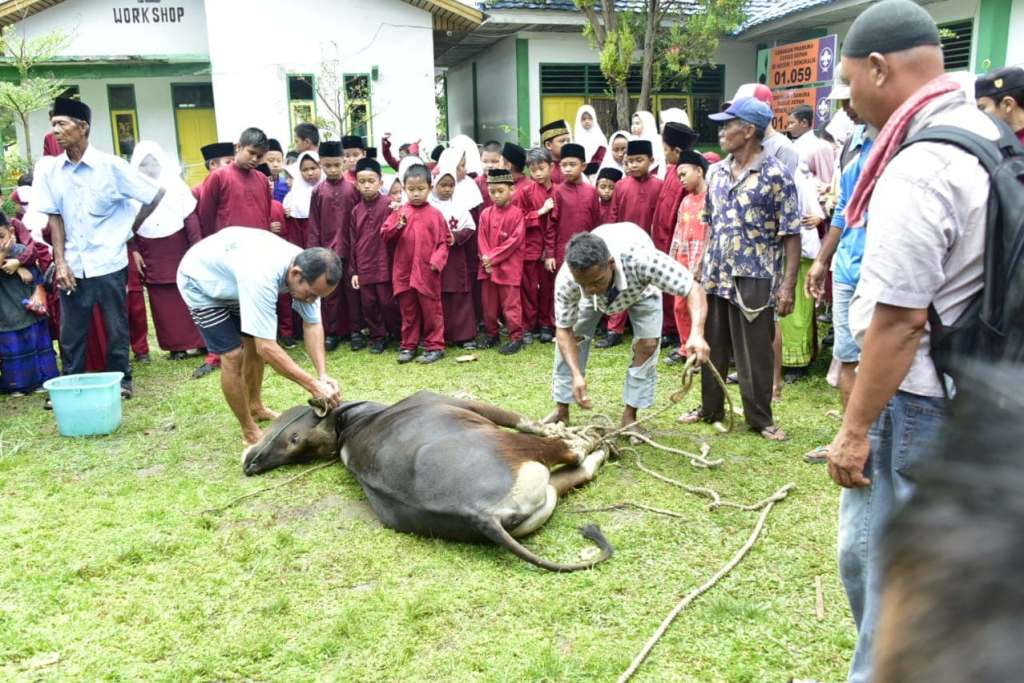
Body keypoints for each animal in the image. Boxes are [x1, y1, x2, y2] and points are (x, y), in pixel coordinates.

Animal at [243, 389, 610, 573]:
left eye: (293, 439)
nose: (251, 462)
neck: (353, 422)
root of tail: (480, 514)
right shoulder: (462, 403)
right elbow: (525, 421)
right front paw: (569, 429)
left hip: (545, 495)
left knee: (579, 473)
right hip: (517, 450)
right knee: (569, 453)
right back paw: (594, 440)